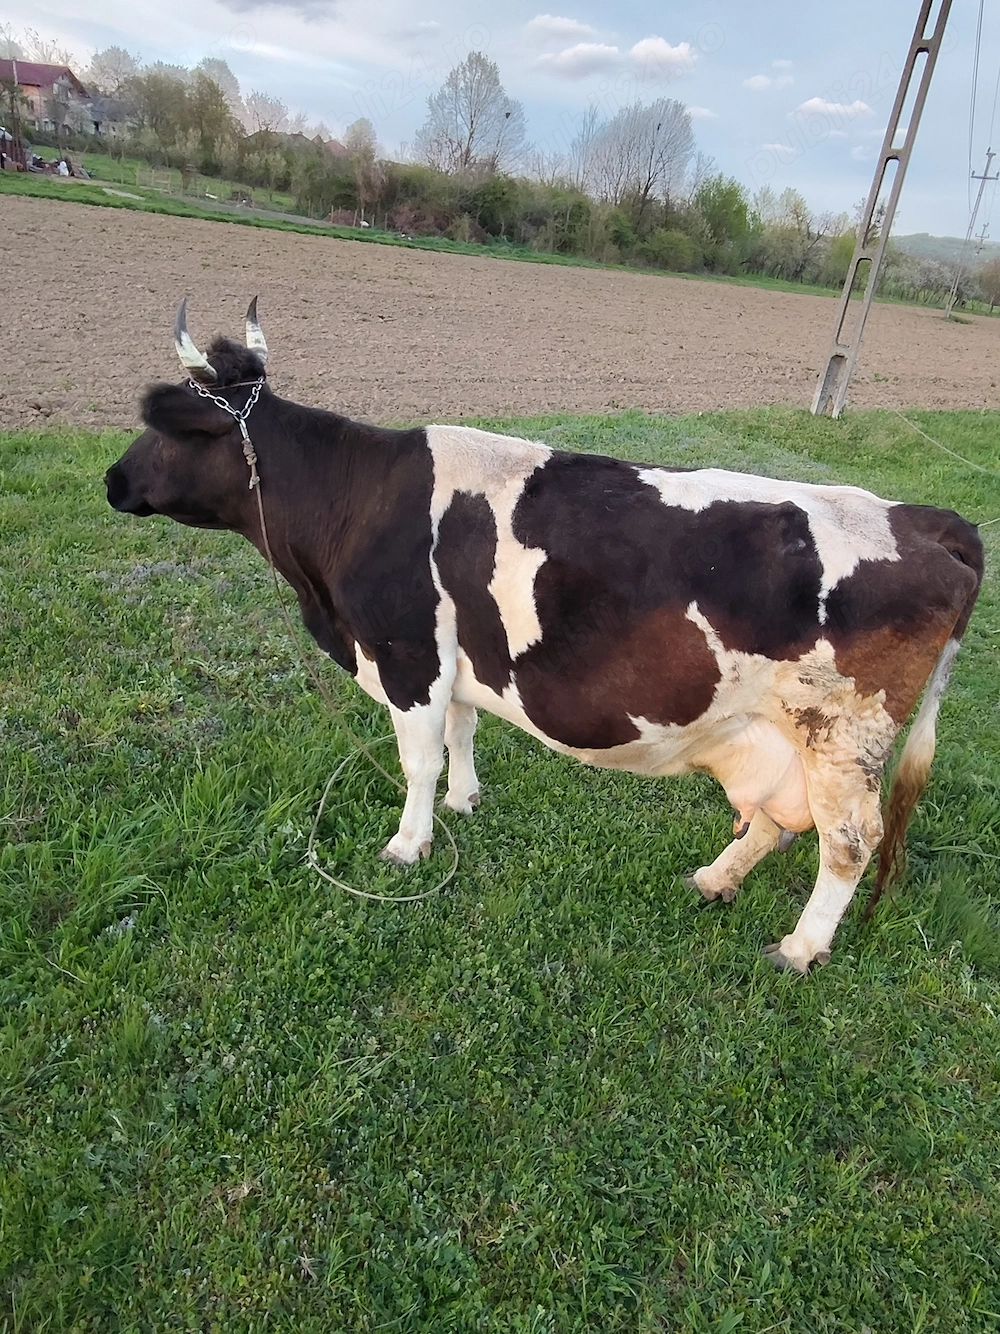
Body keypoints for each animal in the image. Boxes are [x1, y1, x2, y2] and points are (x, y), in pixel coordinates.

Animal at [105, 301, 984, 973]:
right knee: (775, 817)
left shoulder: (406, 655)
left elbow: (416, 759)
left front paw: (408, 845)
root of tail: (925, 518)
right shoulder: (453, 658)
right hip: (777, 735)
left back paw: (799, 948)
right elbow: (461, 733)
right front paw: (464, 802)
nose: (112, 481)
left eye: (167, 428)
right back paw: (713, 879)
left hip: (842, 736)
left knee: (850, 841)